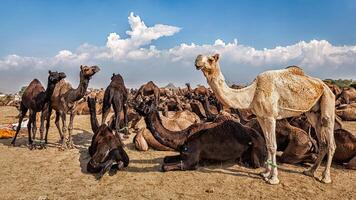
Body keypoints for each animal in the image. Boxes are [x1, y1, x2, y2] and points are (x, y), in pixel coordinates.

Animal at [195, 53, 336, 184]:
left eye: (211, 59)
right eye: (199, 57)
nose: (197, 62)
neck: (252, 93)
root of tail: (325, 86)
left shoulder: (270, 117)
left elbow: (273, 146)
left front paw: (273, 178)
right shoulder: (261, 117)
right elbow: (268, 144)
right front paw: (265, 173)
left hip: (328, 100)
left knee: (331, 140)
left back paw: (325, 177)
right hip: (313, 114)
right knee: (322, 141)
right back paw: (310, 171)